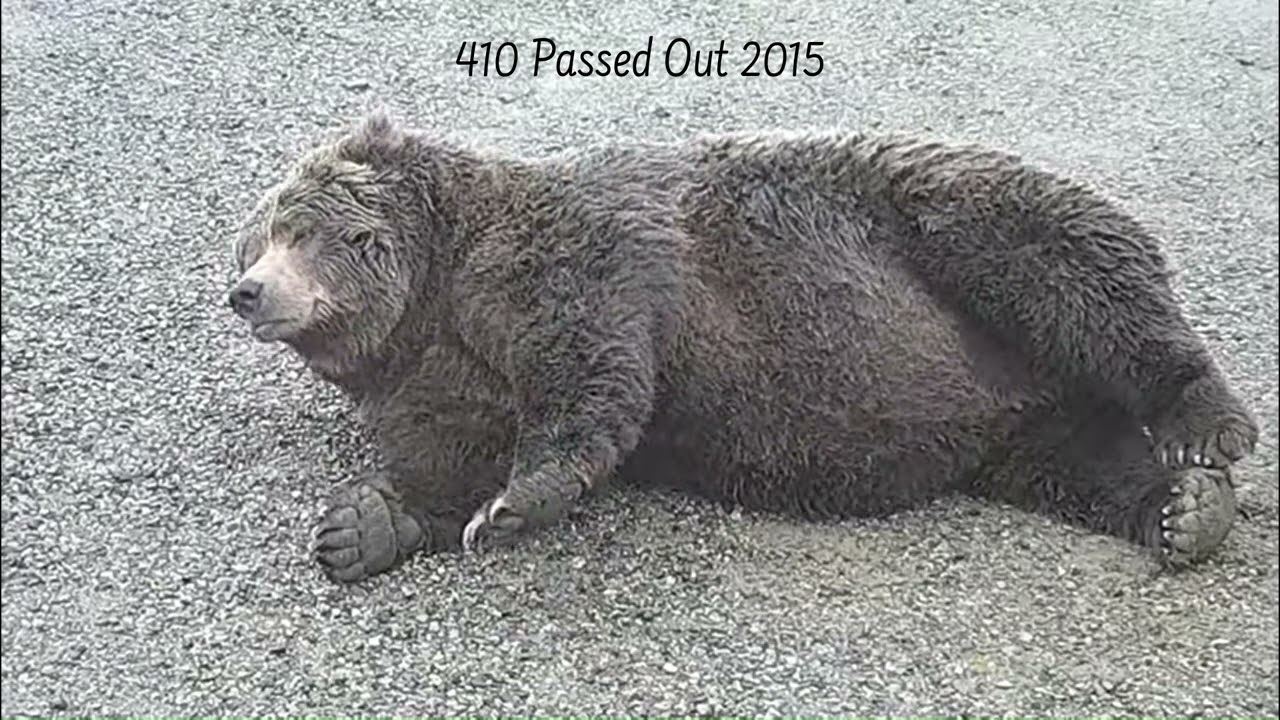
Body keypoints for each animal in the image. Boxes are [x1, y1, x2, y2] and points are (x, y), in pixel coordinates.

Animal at [227, 111, 1259, 584]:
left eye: (301, 228)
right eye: (251, 241)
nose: (247, 292)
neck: (432, 296)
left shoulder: (563, 258)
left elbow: (589, 370)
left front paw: (515, 505)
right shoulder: (434, 372)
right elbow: (442, 455)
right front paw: (363, 524)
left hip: (949, 228)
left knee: (1079, 271)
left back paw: (1205, 425)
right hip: (1017, 433)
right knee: (1083, 460)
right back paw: (1182, 509)